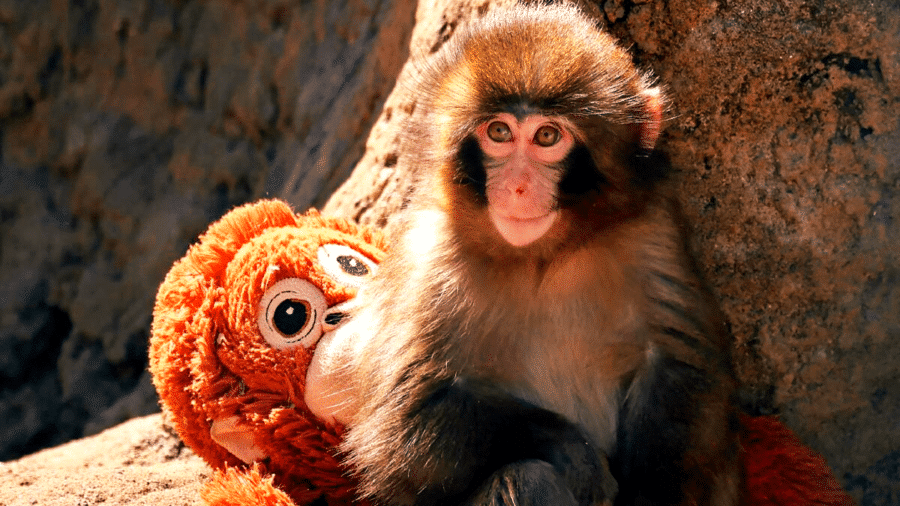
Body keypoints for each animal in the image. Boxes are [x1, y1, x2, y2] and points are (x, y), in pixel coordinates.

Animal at [306, 4, 742, 506]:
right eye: (499, 132)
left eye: (547, 137)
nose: (516, 186)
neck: (543, 257)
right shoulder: (430, 257)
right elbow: (405, 423)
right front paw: (574, 451)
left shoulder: (652, 230)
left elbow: (681, 367)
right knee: (526, 477)